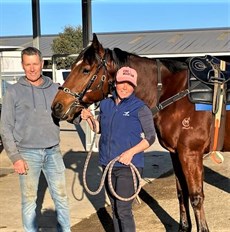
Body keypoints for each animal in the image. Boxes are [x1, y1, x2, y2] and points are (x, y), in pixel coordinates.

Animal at [51, 33, 229, 231]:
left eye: (85, 70)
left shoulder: (191, 154)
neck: (172, 93)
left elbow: (196, 197)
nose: (57, 106)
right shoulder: (177, 154)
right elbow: (181, 193)